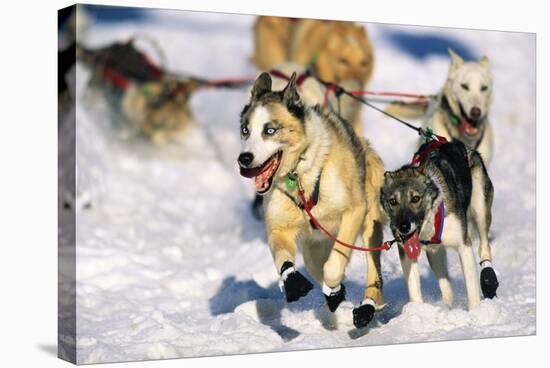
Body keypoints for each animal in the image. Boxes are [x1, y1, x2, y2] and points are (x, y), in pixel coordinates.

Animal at [239, 72, 386, 328]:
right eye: (245, 130)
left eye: (270, 130)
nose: (244, 158)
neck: (300, 177)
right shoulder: (278, 227)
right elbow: (283, 258)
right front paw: (293, 282)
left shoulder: (354, 212)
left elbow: (334, 266)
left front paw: (334, 289)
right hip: (312, 248)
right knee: (316, 264)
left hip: (369, 228)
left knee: (372, 271)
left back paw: (367, 307)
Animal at [382, 141, 502, 310]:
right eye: (393, 201)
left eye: (415, 198)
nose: (403, 227)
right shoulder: (406, 253)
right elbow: (414, 287)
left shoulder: (463, 245)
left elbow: (471, 289)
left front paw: (475, 311)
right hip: (435, 253)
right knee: (444, 281)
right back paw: (446, 305)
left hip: (480, 210)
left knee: (484, 247)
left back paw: (488, 277)